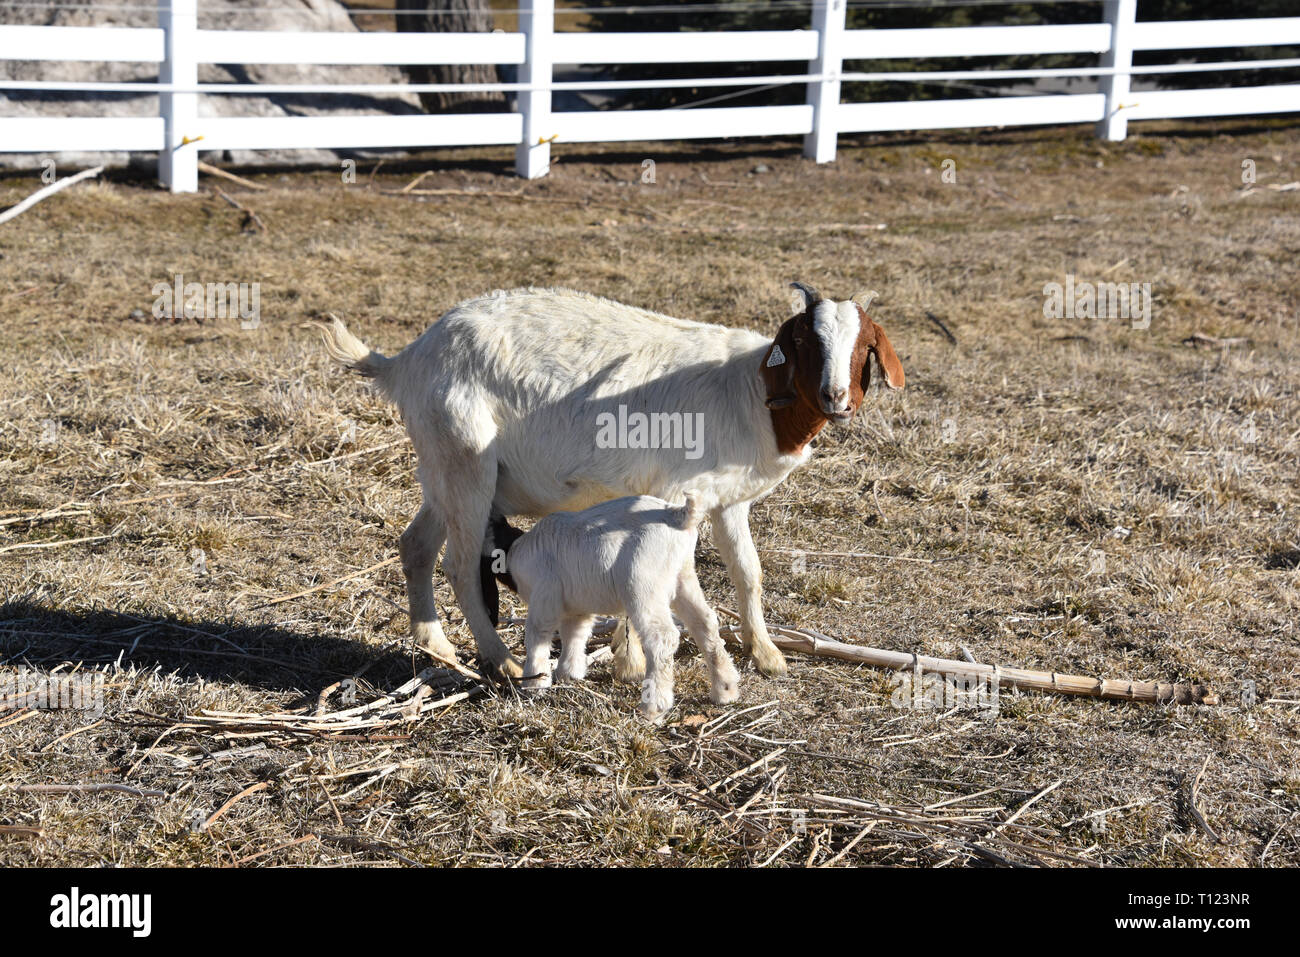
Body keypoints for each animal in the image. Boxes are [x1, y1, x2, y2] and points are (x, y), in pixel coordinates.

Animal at [316, 282, 904, 679]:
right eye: (805, 342)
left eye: (864, 345)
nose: (835, 398)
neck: (752, 390)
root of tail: (407, 358)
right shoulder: (673, 492)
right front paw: (633, 660)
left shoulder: (728, 501)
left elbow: (748, 572)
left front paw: (767, 654)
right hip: (465, 459)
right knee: (460, 567)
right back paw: (503, 661)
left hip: (443, 469)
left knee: (415, 545)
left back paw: (434, 644)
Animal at [484, 492, 740, 722]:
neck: (515, 549)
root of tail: (678, 515)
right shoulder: (577, 606)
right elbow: (575, 634)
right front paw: (568, 673)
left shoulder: (545, 596)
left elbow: (538, 636)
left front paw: (534, 682)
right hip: (683, 578)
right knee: (705, 623)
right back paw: (725, 689)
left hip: (643, 585)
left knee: (662, 638)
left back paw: (653, 706)